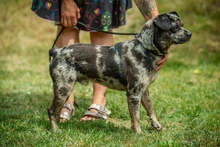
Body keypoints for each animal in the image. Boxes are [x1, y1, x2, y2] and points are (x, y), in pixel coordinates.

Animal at [47, 12, 191, 133]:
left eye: (182, 25)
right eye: (175, 28)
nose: (190, 34)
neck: (145, 49)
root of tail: (57, 51)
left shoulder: (144, 91)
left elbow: (151, 110)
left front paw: (156, 126)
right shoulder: (134, 94)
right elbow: (136, 116)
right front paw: (138, 133)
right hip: (64, 88)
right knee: (51, 110)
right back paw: (56, 130)